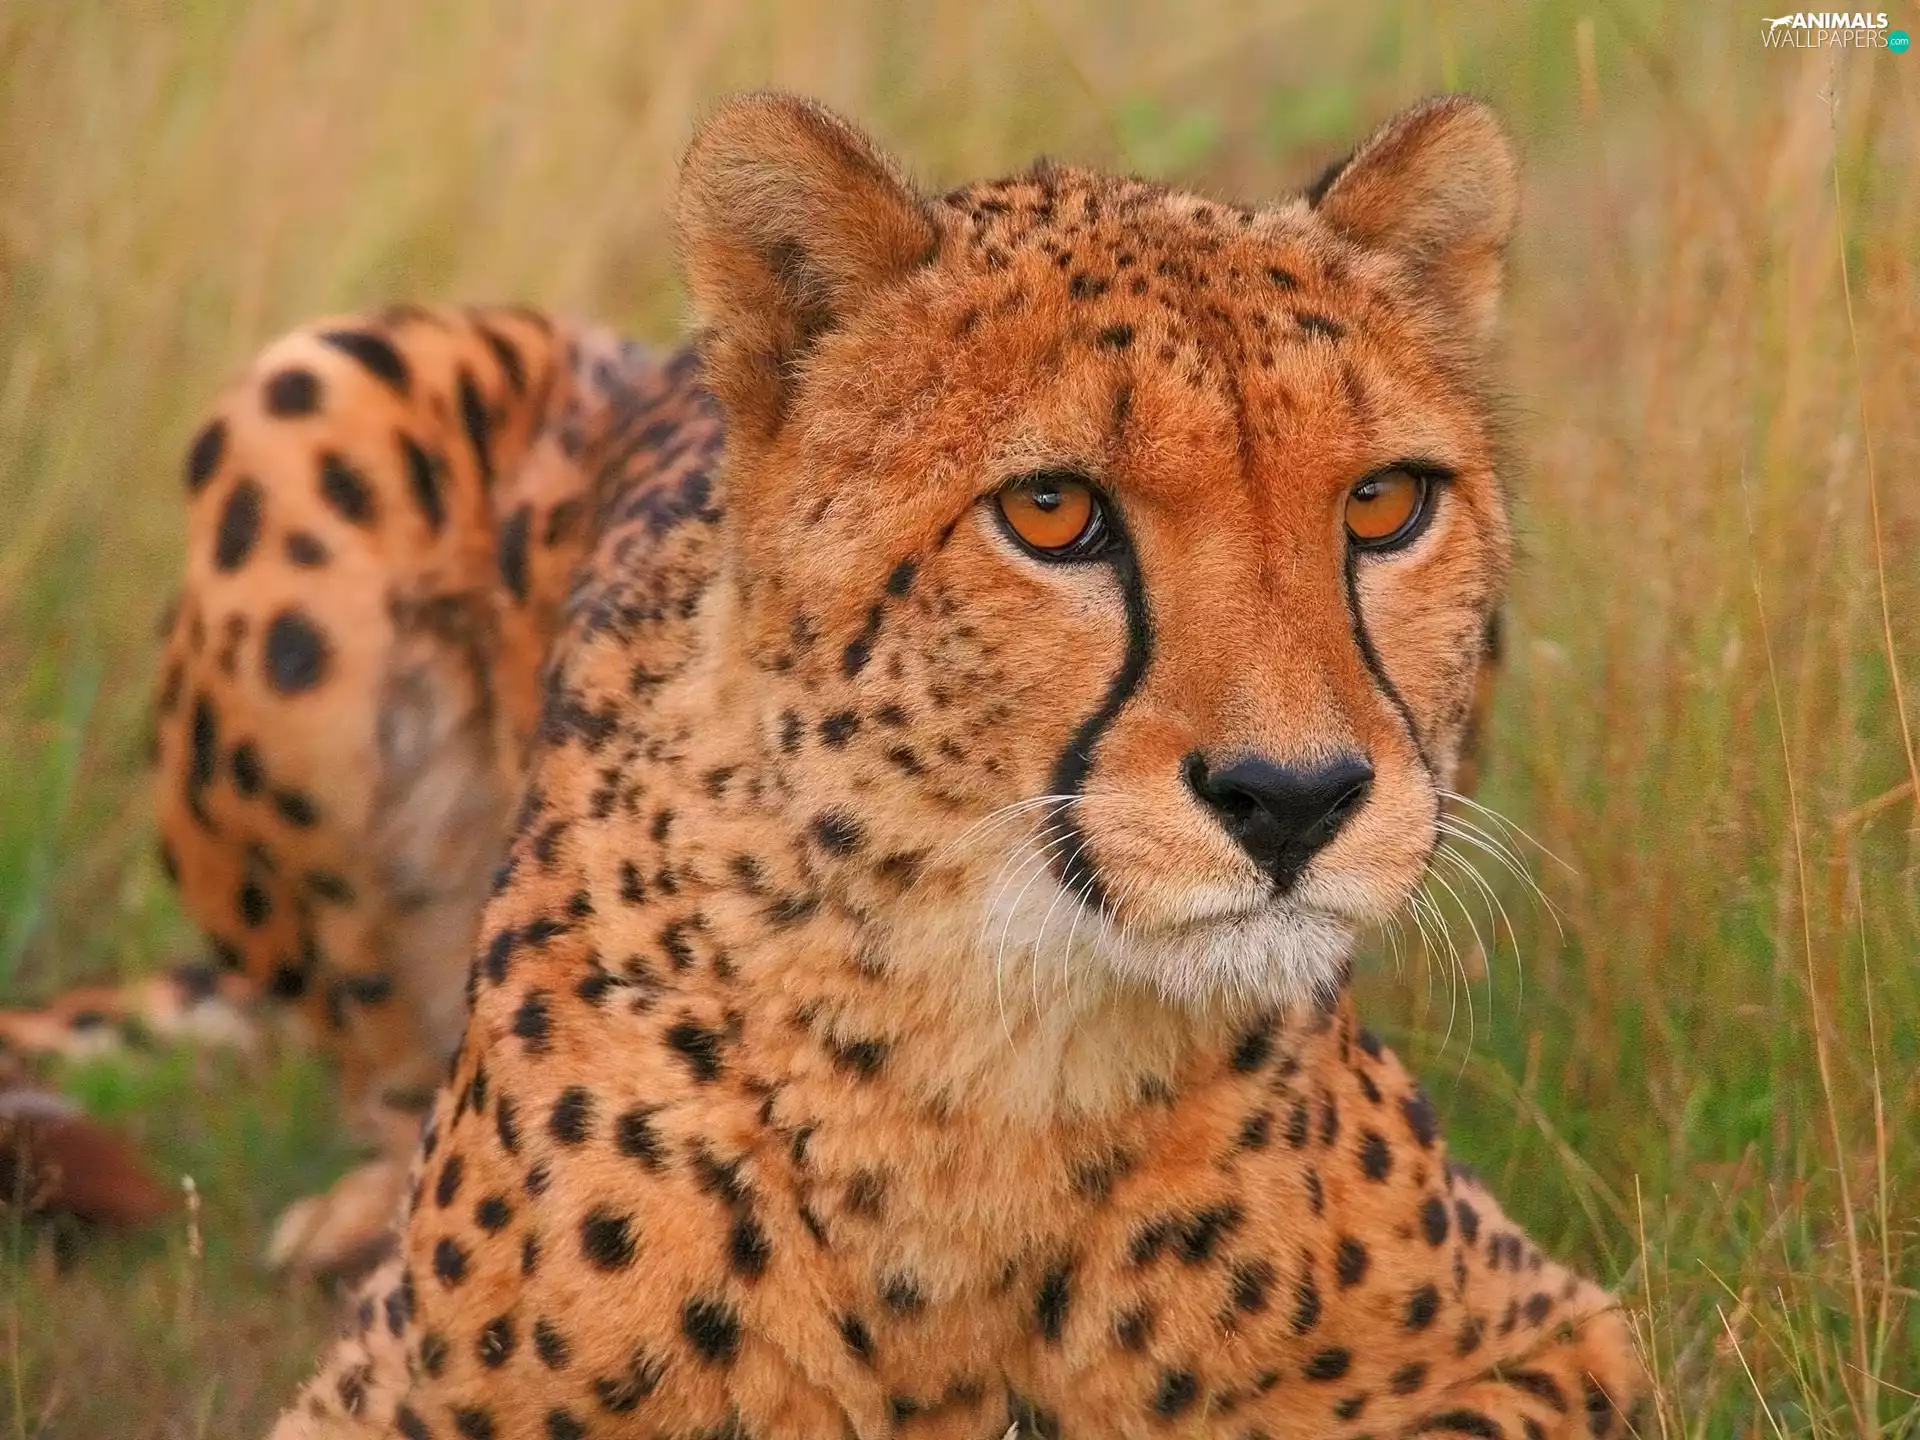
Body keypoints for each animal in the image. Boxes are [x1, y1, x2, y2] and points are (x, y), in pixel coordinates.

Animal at [42, 89, 1654, 1436]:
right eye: (1053, 511)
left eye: (1385, 503)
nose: (1296, 799)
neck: (991, 1028)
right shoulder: (386, 1406)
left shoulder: (1549, 1339)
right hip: (306, 404)